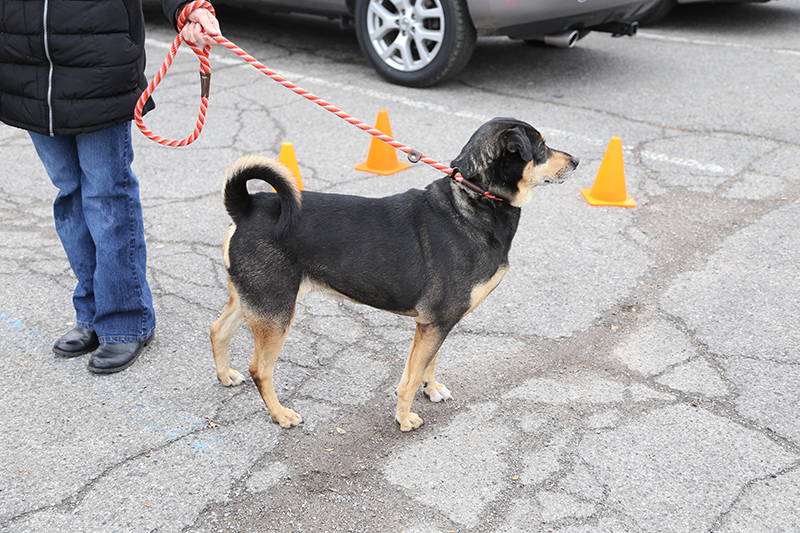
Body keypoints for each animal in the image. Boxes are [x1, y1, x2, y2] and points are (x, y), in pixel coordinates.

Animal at [209, 116, 580, 428]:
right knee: (260, 369)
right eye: (542, 147)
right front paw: (404, 418)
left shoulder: (435, 324)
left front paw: (432, 389)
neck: (476, 199)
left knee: (217, 331)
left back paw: (226, 376)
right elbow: (411, 377)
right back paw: (280, 414)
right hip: (276, 311)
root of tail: (246, 209)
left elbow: (428, 364)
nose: (576, 160)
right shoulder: (437, 321)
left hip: (253, 299)